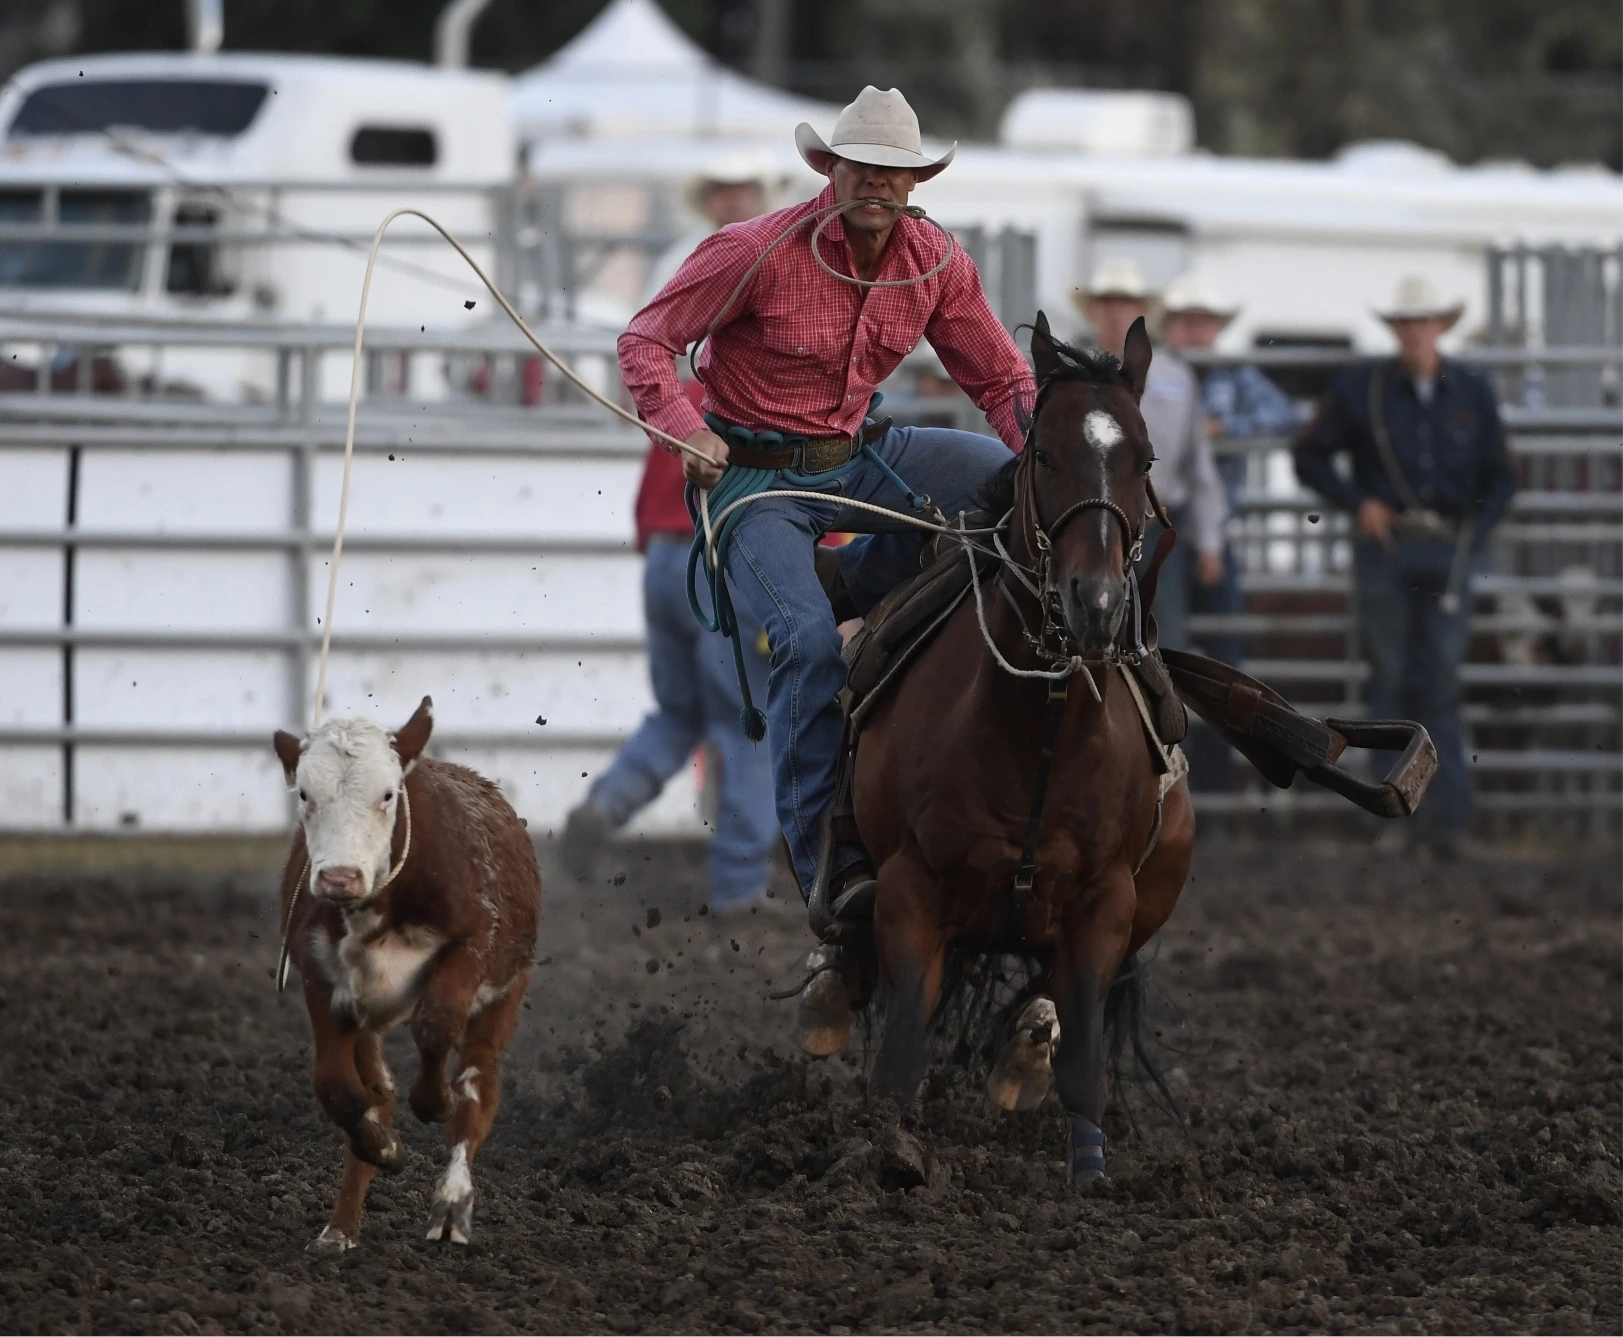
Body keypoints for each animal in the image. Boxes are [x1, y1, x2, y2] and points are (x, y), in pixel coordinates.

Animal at [271, 700, 538, 1252]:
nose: (339, 878)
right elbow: (338, 1089)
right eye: (305, 793)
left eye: (388, 793)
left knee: (479, 1086)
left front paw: (435, 1102)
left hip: (508, 986)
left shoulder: (472, 944)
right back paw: (340, 1227)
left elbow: (436, 1029)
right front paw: (386, 1148)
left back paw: (452, 1205)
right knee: (377, 1089)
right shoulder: (321, 978)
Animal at [850, 316, 1194, 1187]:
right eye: (1044, 455)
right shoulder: (908, 890)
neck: (1035, 726)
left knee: (1047, 998)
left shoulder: (1104, 905)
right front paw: (888, 1155)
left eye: (1144, 459)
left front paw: (1089, 1171)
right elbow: (899, 1052)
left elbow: (1084, 1064)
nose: (1095, 604)